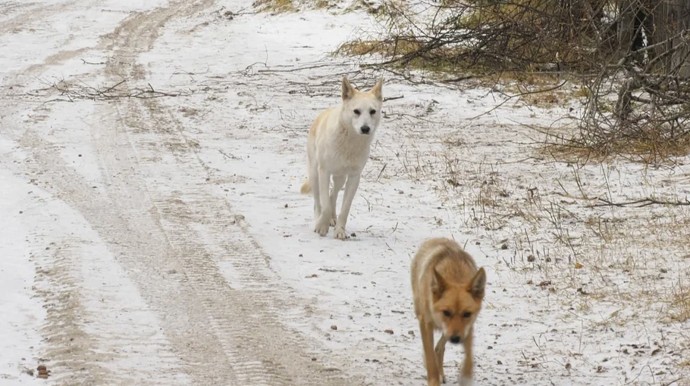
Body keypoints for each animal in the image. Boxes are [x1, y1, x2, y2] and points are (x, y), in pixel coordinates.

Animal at [298, 76, 382, 240]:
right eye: (356, 111)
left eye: (372, 111)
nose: (365, 129)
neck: (350, 143)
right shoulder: (324, 172)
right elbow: (324, 204)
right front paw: (321, 227)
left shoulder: (354, 177)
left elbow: (345, 208)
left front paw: (339, 231)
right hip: (315, 174)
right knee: (318, 202)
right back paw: (319, 220)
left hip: (340, 177)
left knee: (333, 194)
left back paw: (332, 218)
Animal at [412, 237, 486, 384]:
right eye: (446, 312)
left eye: (467, 314)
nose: (456, 339)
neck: (455, 275)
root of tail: (436, 238)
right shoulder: (425, 324)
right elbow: (430, 358)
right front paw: (434, 380)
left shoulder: (467, 327)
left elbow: (469, 357)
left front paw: (465, 377)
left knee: (439, 348)